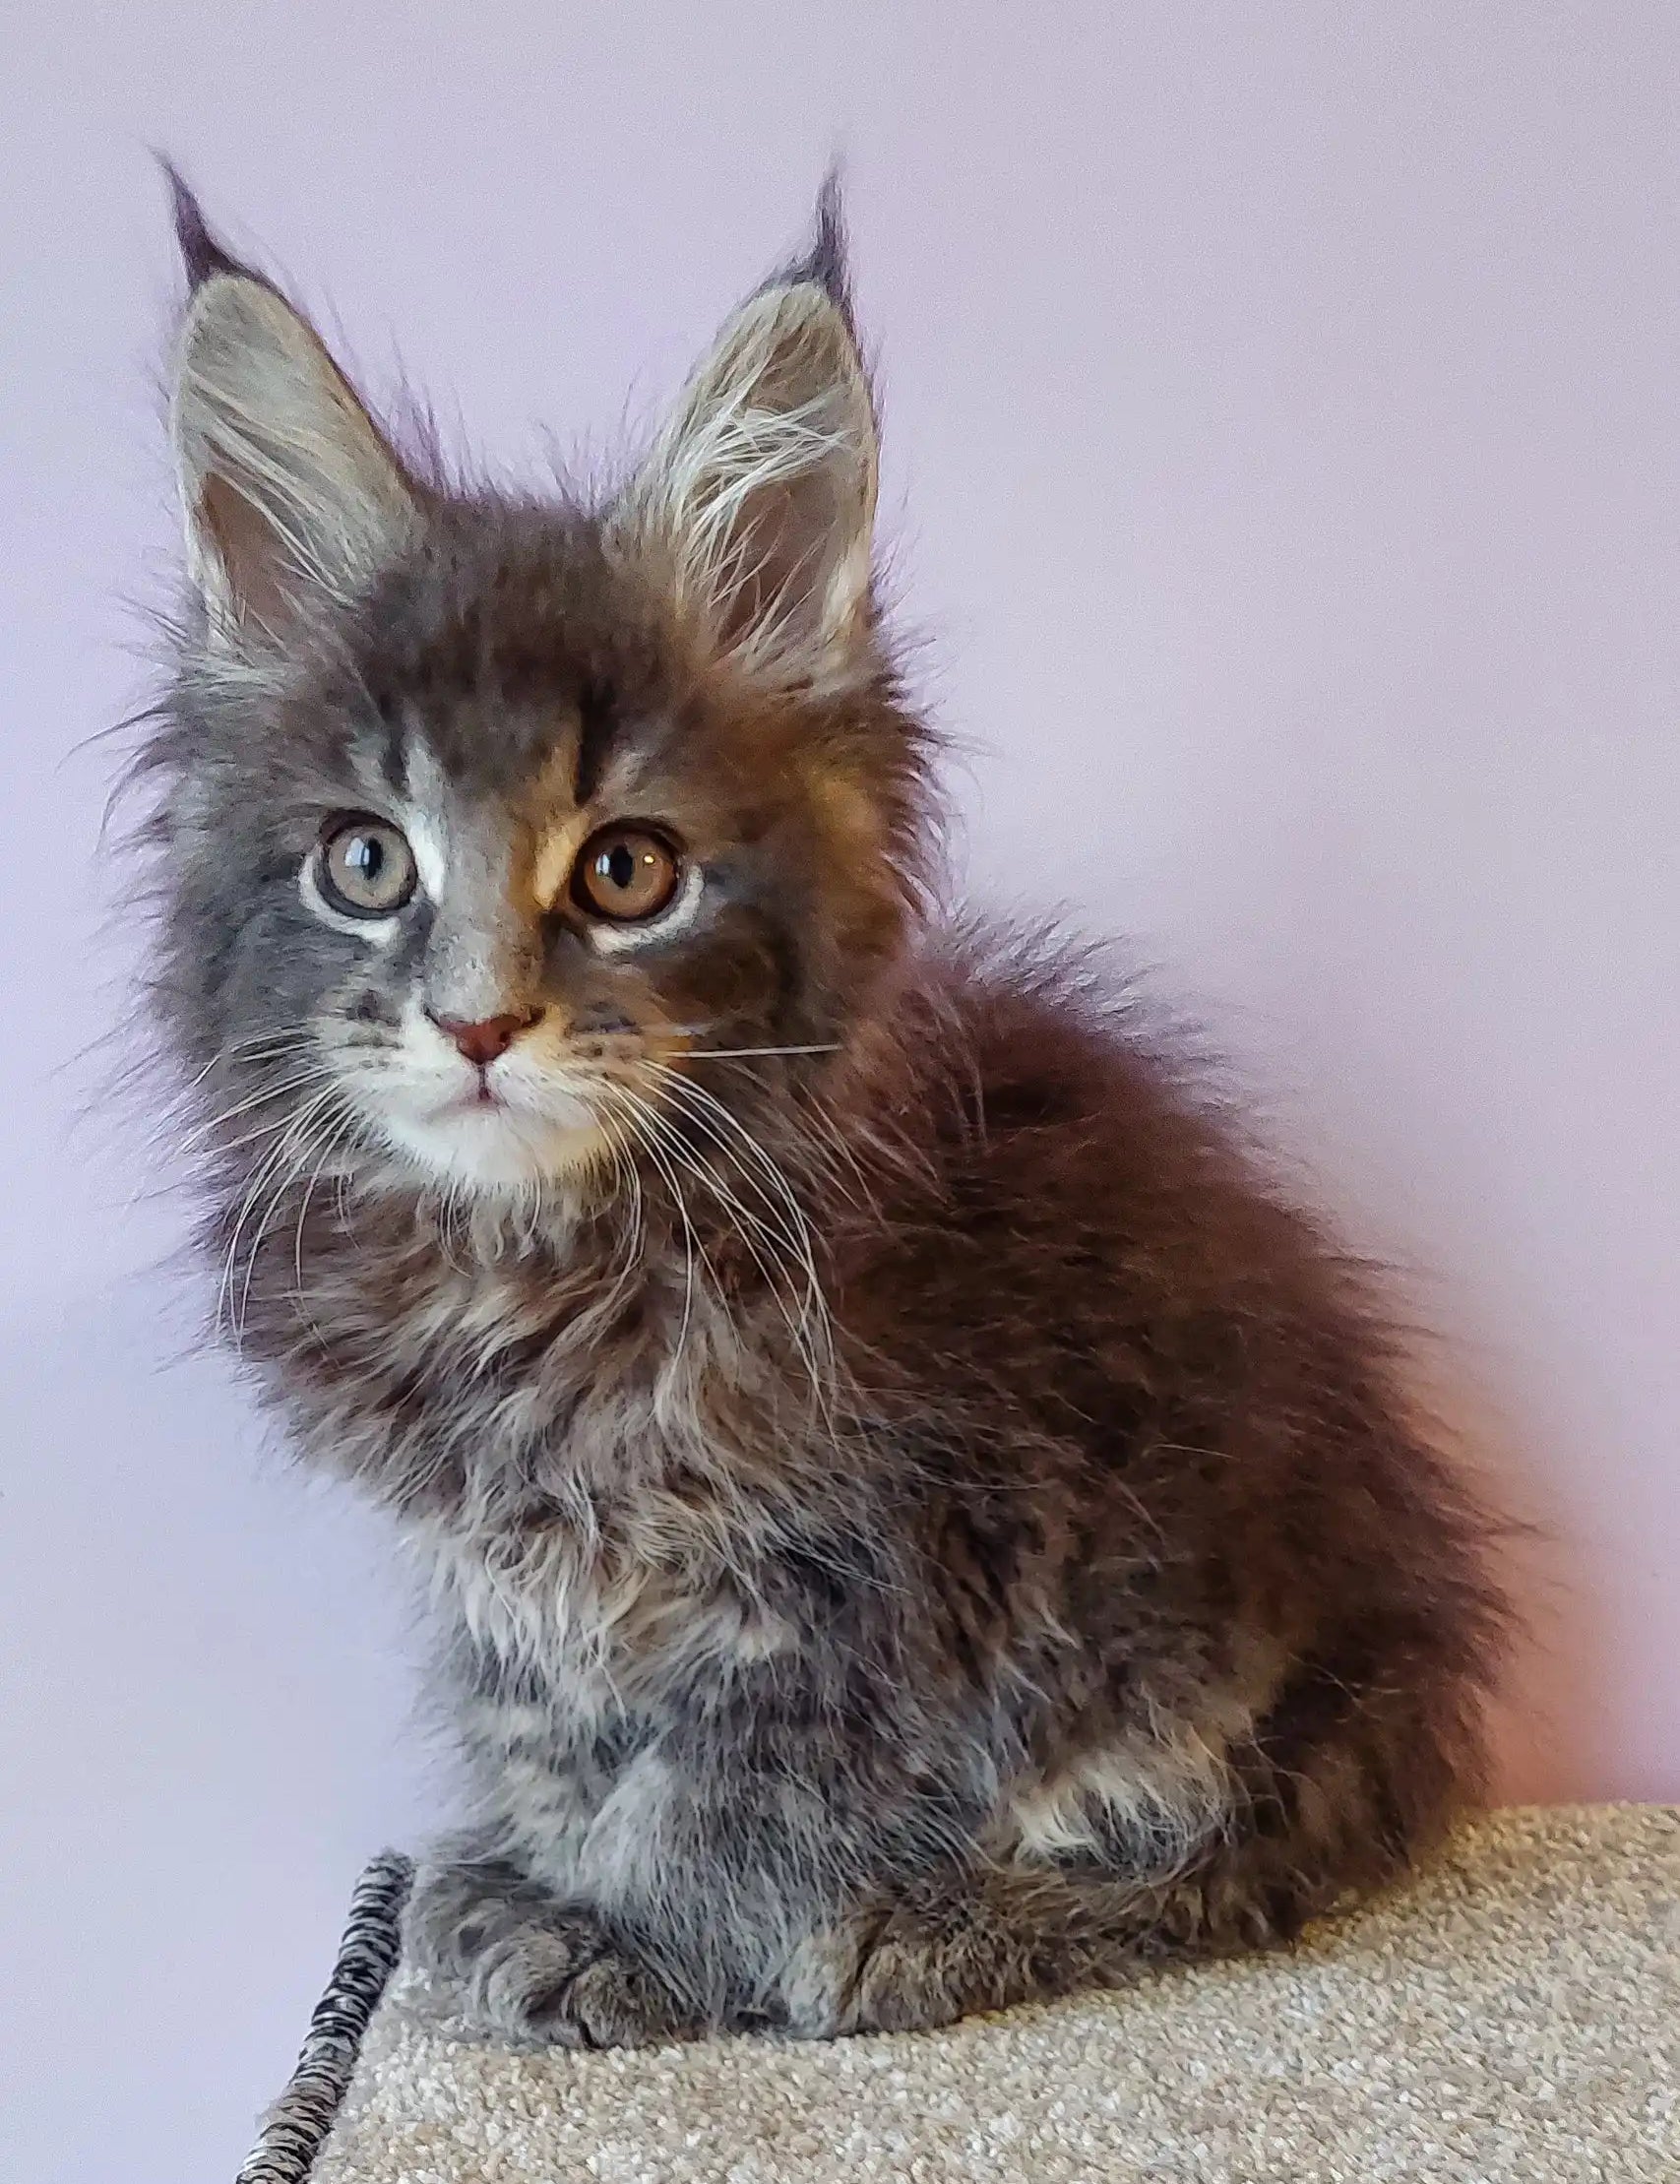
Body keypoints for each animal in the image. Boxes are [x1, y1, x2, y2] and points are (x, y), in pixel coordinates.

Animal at [141, 174, 1503, 2043]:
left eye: (625, 870)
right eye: (365, 863)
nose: (479, 1019)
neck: (531, 1268)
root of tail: (1421, 1656)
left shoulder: (880, 1564)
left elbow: (731, 1790)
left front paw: (641, 1942)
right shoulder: (512, 1580)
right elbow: (557, 1732)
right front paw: (534, 1883)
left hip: (1218, 1638)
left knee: (1242, 1852)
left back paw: (931, 1922)